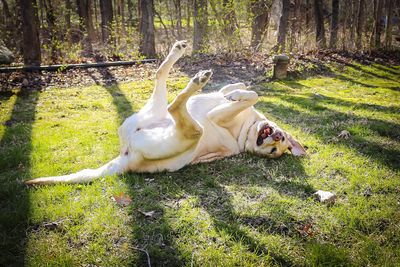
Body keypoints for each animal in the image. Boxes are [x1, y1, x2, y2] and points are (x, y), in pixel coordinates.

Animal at [25, 40, 306, 186]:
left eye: (274, 151)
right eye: (279, 145)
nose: (276, 137)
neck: (248, 129)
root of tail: (125, 160)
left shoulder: (218, 117)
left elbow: (251, 96)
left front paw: (237, 96)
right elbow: (244, 88)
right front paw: (235, 91)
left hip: (185, 131)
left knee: (177, 107)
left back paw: (195, 82)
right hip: (149, 113)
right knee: (161, 77)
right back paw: (182, 56)